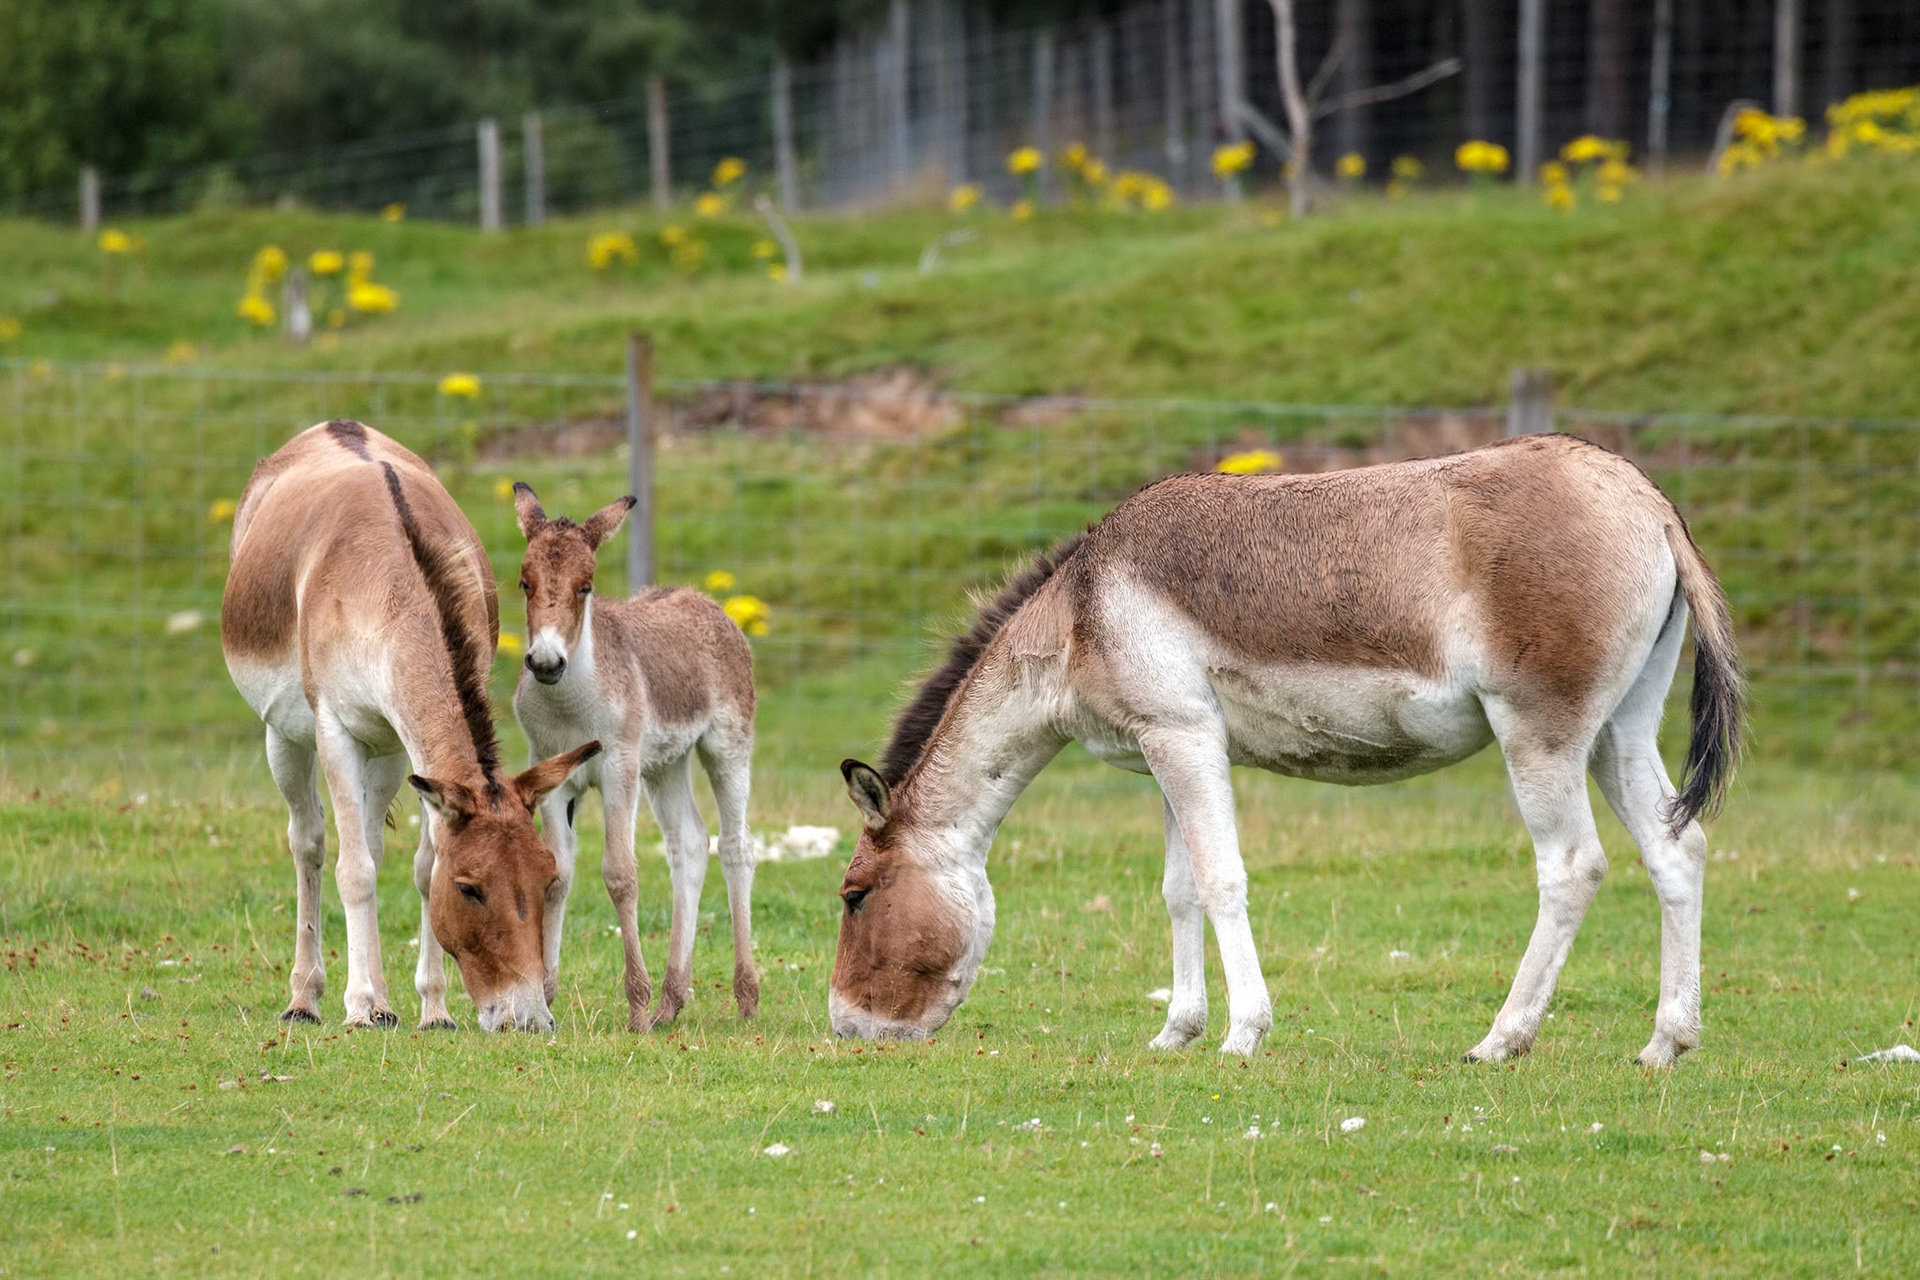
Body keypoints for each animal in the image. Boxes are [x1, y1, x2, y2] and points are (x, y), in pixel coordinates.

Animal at [222, 421, 600, 1032]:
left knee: (371, 843)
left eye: (548, 879)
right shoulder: (335, 731)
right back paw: (308, 998)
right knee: (310, 843)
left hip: (385, 752)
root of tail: (333, 425)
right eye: (470, 889)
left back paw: (383, 1001)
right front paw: (356, 1006)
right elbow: (353, 871)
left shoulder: (410, 746)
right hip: (285, 736)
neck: (394, 585)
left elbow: (421, 867)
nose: (528, 1019)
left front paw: (433, 1007)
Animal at [510, 484, 759, 1031]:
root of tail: (706, 602)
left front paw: (637, 1006)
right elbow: (557, 874)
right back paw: (673, 999)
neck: (571, 704)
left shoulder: (619, 765)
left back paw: (744, 997)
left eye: (585, 586)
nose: (545, 662)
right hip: (665, 764)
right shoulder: (551, 773)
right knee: (690, 842)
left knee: (736, 847)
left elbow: (620, 874)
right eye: (524, 582)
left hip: (727, 747)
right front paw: (544, 995)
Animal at [829, 433, 1741, 1065]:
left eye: (854, 895)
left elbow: (1222, 882)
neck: (1083, 607)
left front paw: (1243, 1034)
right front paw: (1176, 1031)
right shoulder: (1170, 749)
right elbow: (1179, 891)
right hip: (1618, 731)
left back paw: (1501, 1039)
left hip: (1539, 736)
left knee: (1573, 866)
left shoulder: (1184, 737)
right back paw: (1667, 1043)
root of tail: (1644, 499)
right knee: (1677, 849)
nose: (846, 1028)